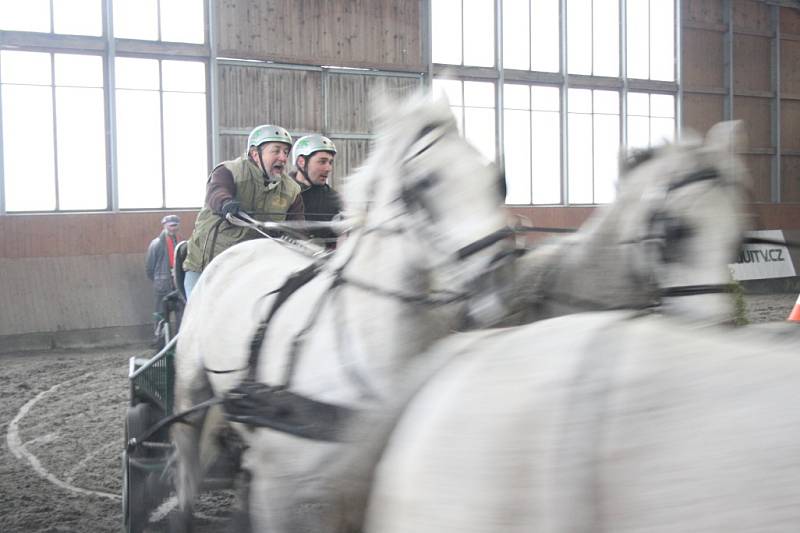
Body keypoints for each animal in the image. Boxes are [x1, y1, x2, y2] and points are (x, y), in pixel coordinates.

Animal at [170, 92, 510, 532]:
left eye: (494, 179)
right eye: (425, 181)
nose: (500, 275)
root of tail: (238, 250)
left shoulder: (351, 490)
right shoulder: (276, 484)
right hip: (189, 390)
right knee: (186, 464)